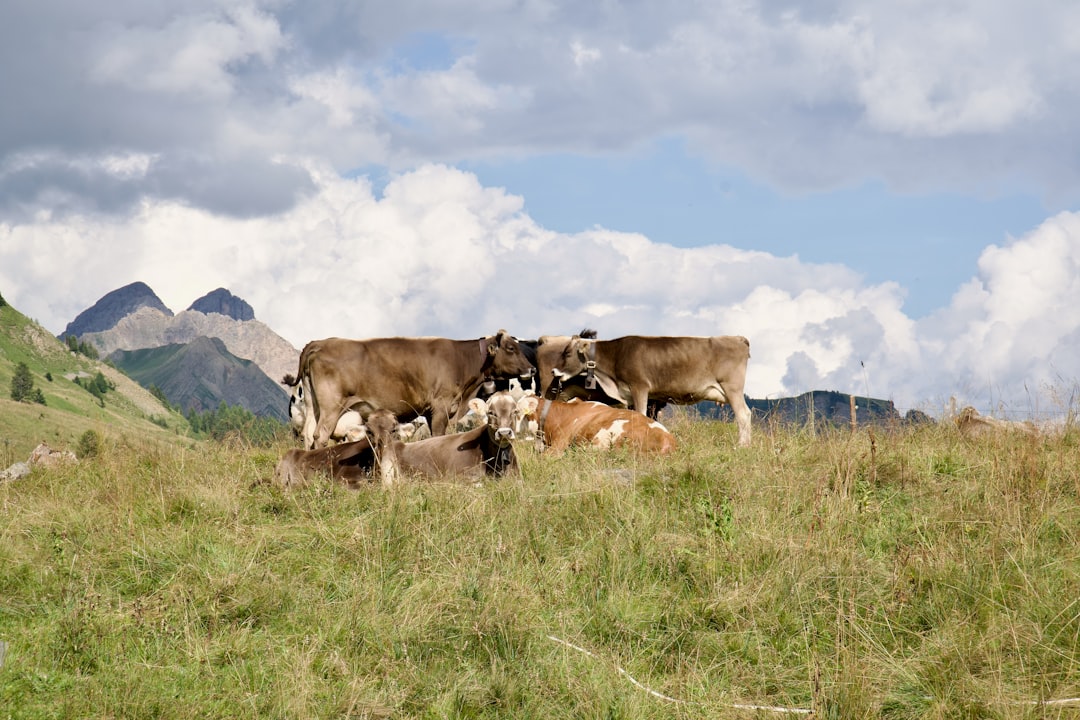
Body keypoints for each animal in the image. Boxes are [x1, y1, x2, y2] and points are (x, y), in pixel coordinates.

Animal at [287, 330, 536, 448]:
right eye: (511, 348)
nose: (532, 369)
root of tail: (319, 343)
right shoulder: (440, 406)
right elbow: (439, 435)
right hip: (331, 405)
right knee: (321, 435)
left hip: (313, 405)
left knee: (309, 434)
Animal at [546, 334, 753, 447]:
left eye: (567, 353)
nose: (553, 371)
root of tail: (738, 338)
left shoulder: (639, 387)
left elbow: (641, 412)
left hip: (732, 387)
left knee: (743, 414)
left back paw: (742, 445)